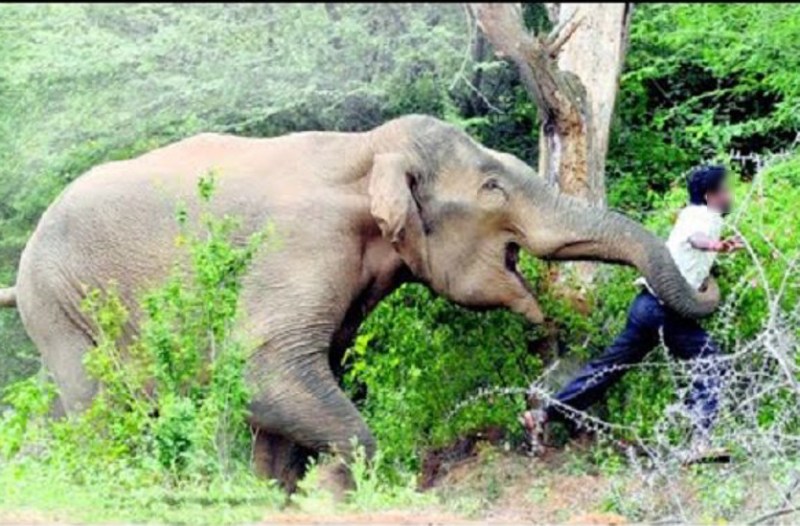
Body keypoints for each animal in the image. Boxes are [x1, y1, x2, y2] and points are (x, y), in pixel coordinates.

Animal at [0, 114, 718, 489]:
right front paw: (333, 492)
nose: (550, 333)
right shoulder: (302, 245)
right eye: (492, 187)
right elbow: (266, 368)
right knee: (97, 407)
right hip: (60, 300)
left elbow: (294, 382)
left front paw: (280, 496)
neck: (367, 147)